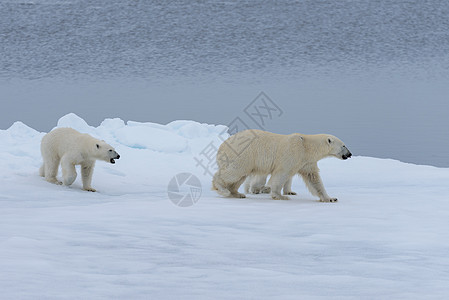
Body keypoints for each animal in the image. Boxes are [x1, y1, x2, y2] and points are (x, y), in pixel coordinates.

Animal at [212, 129, 352, 202]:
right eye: (343, 145)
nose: (350, 154)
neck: (306, 146)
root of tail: (222, 145)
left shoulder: (307, 162)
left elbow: (314, 179)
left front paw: (330, 198)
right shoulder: (291, 153)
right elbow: (281, 174)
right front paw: (280, 196)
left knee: (239, 177)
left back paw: (236, 193)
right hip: (242, 154)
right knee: (234, 171)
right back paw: (223, 189)